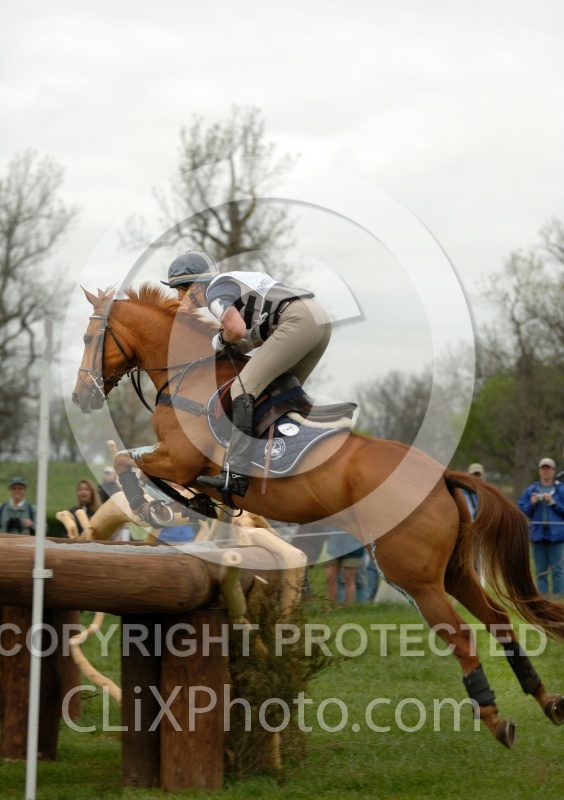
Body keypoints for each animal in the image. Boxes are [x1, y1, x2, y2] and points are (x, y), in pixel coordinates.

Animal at [71, 283, 564, 747]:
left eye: (89, 337)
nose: (80, 398)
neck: (187, 375)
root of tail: (442, 475)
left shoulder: (180, 460)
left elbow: (127, 462)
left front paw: (154, 504)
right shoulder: (178, 462)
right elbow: (133, 462)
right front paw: (178, 503)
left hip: (414, 576)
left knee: (463, 635)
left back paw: (496, 720)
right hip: (454, 571)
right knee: (498, 620)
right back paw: (546, 700)